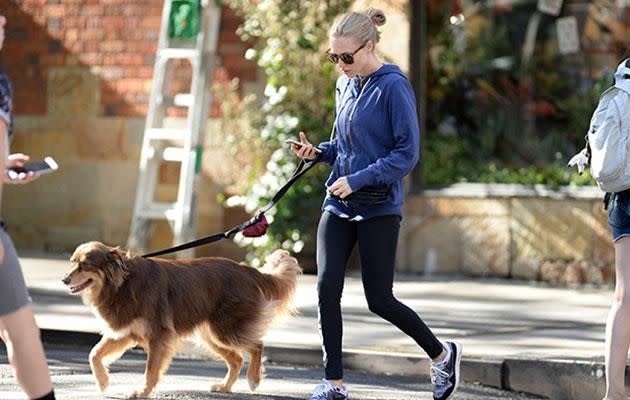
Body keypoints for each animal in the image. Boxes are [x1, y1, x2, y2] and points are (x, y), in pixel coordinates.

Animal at [61, 242, 304, 398]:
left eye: (84, 265)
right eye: (72, 263)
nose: (64, 280)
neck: (122, 283)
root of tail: (248, 270)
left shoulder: (158, 335)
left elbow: (151, 369)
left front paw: (143, 391)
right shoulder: (127, 333)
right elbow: (94, 354)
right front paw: (103, 382)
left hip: (226, 330)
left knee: (257, 345)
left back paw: (254, 380)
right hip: (211, 336)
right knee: (236, 359)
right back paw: (225, 387)